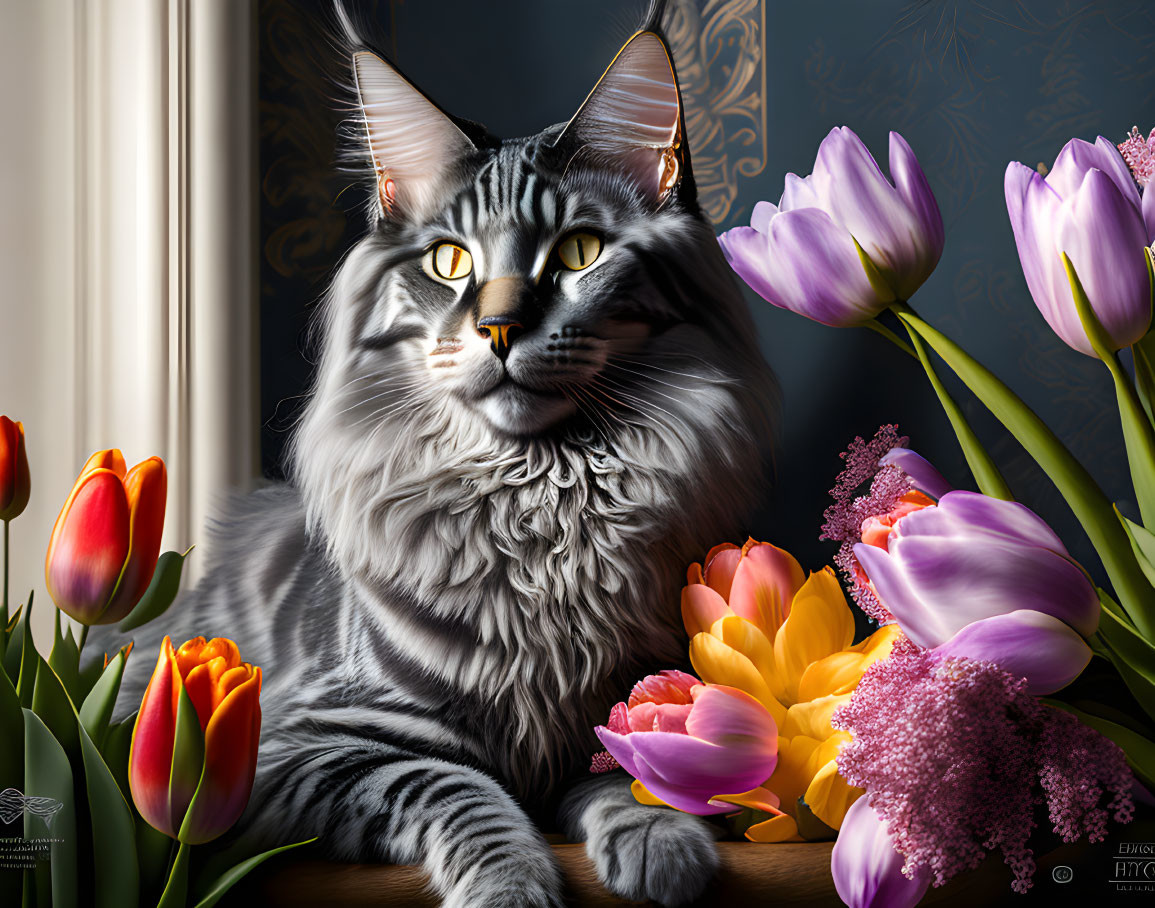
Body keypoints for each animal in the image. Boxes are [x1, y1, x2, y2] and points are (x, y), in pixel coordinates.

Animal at [94, 8, 776, 905]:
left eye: (579, 251)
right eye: (449, 261)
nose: (498, 328)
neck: (540, 504)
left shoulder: (621, 706)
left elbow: (627, 775)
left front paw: (662, 846)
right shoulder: (302, 743)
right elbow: (462, 790)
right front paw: (512, 888)